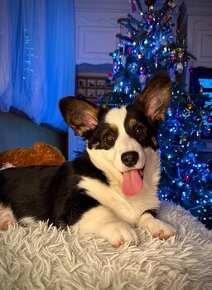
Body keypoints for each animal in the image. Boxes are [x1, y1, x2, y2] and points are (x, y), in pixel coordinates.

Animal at [0, 72, 176, 247]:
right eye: (109, 137)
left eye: (139, 130)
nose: (130, 158)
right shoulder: (73, 203)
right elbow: (102, 211)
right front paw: (122, 229)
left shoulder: (148, 207)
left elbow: (147, 215)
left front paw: (160, 226)